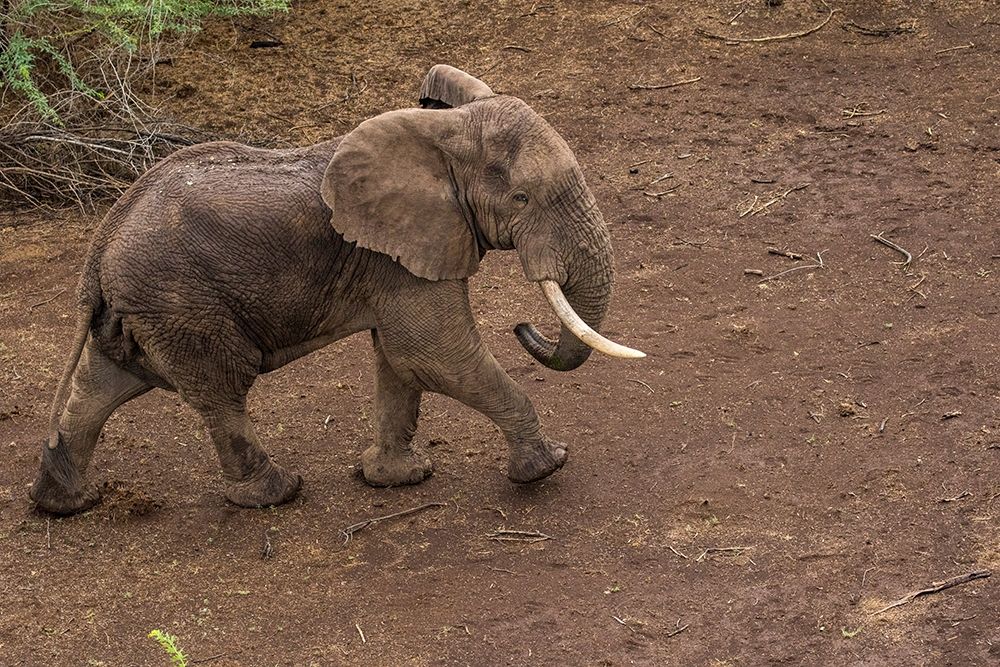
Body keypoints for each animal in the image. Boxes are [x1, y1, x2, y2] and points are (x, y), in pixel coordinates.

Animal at [29, 65, 644, 516]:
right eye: (522, 199)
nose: (523, 326)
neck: (443, 135)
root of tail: (99, 250)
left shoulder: (393, 259)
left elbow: (399, 362)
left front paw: (397, 480)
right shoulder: (398, 256)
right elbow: (434, 356)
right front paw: (545, 466)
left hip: (147, 309)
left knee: (101, 386)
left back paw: (64, 503)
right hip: (181, 303)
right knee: (220, 389)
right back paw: (277, 493)